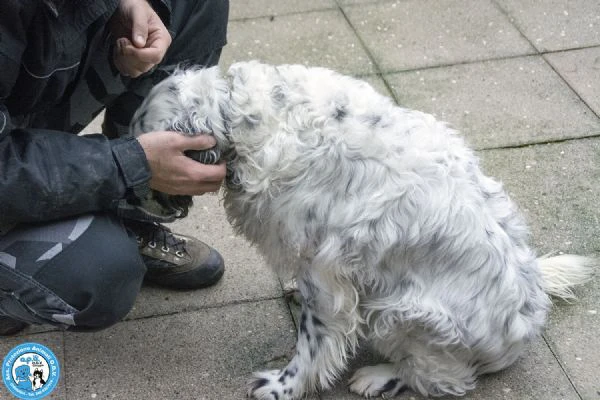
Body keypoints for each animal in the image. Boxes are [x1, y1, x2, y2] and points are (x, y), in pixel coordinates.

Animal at [129, 61, 592, 398]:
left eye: (154, 163)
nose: (129, 203)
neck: (246, 115)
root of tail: (531, 315)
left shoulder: (325, 274)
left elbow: (312, 343)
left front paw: (284, 386)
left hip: (405, 314)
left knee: (444, 379)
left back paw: (380, 376)